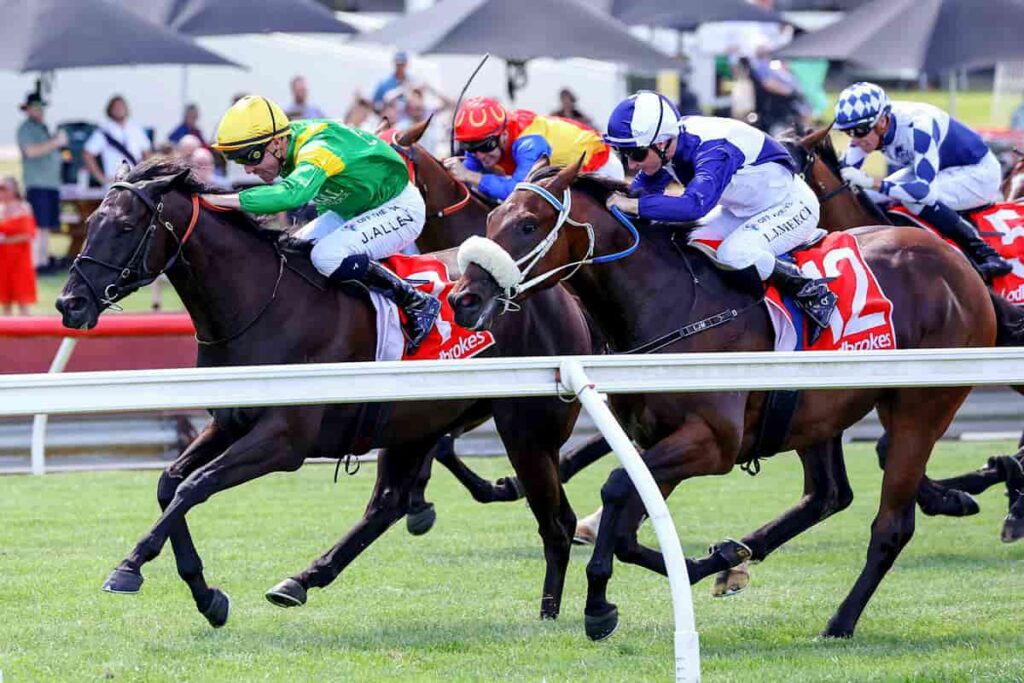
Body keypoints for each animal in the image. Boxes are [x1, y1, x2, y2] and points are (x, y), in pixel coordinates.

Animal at [56, 157, 598, 626]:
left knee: (557, 523)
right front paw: (207, 595)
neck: (262, 303)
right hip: (417, 422)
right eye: (92, 222)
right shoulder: (228, 422)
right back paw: (301, 579)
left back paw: (551, 613)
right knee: (387, 504)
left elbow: (195, 485)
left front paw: (130, 566)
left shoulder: (283, 440)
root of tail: (560, 293)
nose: (69, 302)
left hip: (527, 431)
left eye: (126, 227)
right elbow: (170, 484)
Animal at [450, 160, 1007, 643]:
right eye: (491, 218)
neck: (672, 305)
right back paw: (744, 554)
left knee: (890, 526)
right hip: (817, 413)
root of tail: (959, 265)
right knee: (827, 495)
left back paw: (840, 621)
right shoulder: (657, 439)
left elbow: (614, 487)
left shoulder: (712, 443)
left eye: (526, 224)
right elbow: (628, 525)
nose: (462, 298)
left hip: (919, 409)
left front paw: (598, 606)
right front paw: (711, 563)